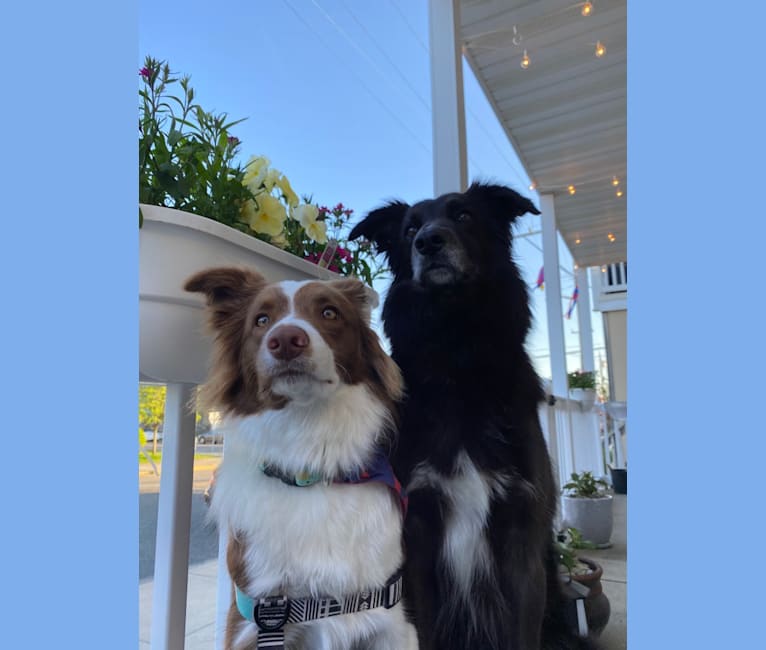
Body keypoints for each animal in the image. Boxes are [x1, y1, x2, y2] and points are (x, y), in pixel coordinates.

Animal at [184, 268, 416, 648]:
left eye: (330, 312)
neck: (310, 463)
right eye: (261, 320)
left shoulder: (389, 619)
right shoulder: (252, 620)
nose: (286, 339)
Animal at [350, 182, 600, 648]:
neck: (458, 362)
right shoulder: (418, 538)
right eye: (408, 229)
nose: (428, 241)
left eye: (464, 215)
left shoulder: (522, 543)